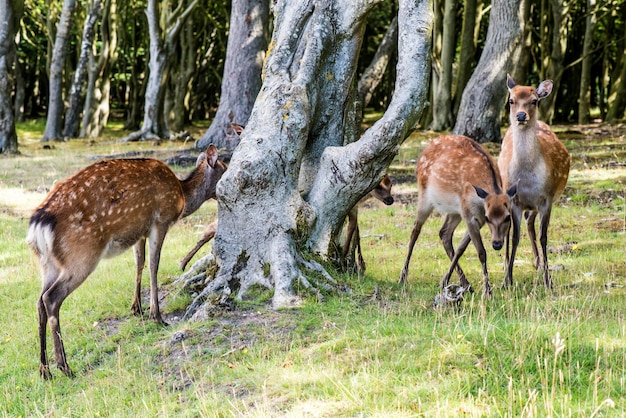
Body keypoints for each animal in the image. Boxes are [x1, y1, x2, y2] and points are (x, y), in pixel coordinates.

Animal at [28, 145, 227, 378]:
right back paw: (64, 366)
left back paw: (44, 370)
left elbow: (139, 263)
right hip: (81, 255)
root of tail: (38, 225)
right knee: (51, 298)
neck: (182, 195)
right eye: (224, 167)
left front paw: (136, 308)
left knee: (39, 301)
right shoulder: (160, 220)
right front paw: (156, 315)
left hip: (47, 263)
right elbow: (154, 265)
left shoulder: (138, 231)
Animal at [398, 136, 516, 296]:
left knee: (444, 233)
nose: (497, 244)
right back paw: (402, 277)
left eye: (507, 217)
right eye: (488, 217)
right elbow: (481, 252)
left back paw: (464, 283)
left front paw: (444, 281)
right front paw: (488, 291)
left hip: (454, 211)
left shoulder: (474, 218)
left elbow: (460, 248)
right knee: (415, 232)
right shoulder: (469, 215)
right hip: (424, 197)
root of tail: (424, 151)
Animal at [494, 74, 568, 288]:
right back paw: (506, 265)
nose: (521, 116)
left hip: (536, 204)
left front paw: (548, 280)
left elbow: (544, 237)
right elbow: (515, 237)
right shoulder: (515, 202)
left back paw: (538, 263)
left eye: (534, 101)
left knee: (529, 222)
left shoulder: (547, 198)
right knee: (511, 230)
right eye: (511, 100)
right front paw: (507, 280)